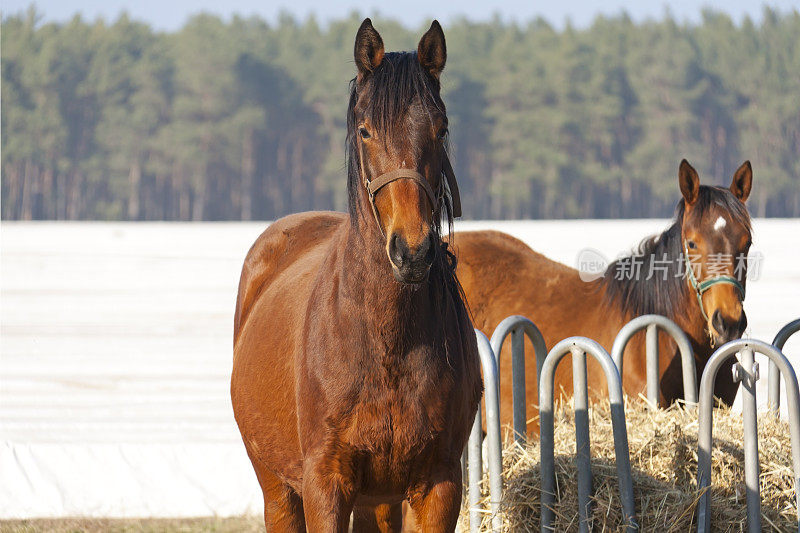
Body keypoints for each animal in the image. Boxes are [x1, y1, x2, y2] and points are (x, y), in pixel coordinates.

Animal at [231, 18, 482, 528]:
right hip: (278, 489)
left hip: (378, 501)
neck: (386, 341)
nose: (412, 251)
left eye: (441, 128)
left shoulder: (438, 486)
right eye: (365, 131)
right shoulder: (325, 484)